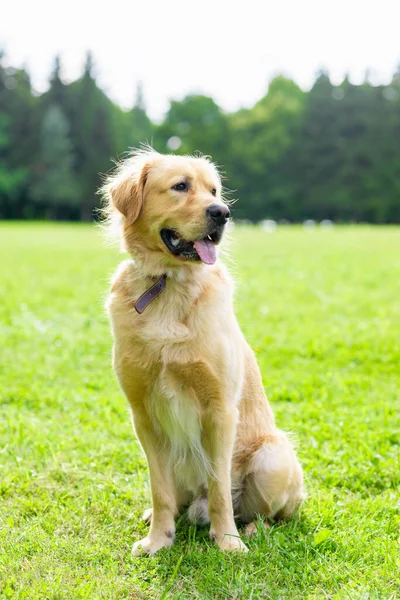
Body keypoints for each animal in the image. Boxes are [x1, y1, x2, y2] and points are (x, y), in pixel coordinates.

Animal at [102, 148, 304, 556]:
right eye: (181, 186)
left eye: (214, 190)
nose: (222, 212)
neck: (168, 283)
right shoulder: (143, 415)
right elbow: (160, 490)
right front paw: (158, 540)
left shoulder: (219, 409)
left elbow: (220, 489)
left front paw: (228, 542)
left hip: (273, 456)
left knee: (265, 515)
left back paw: (251, 530)